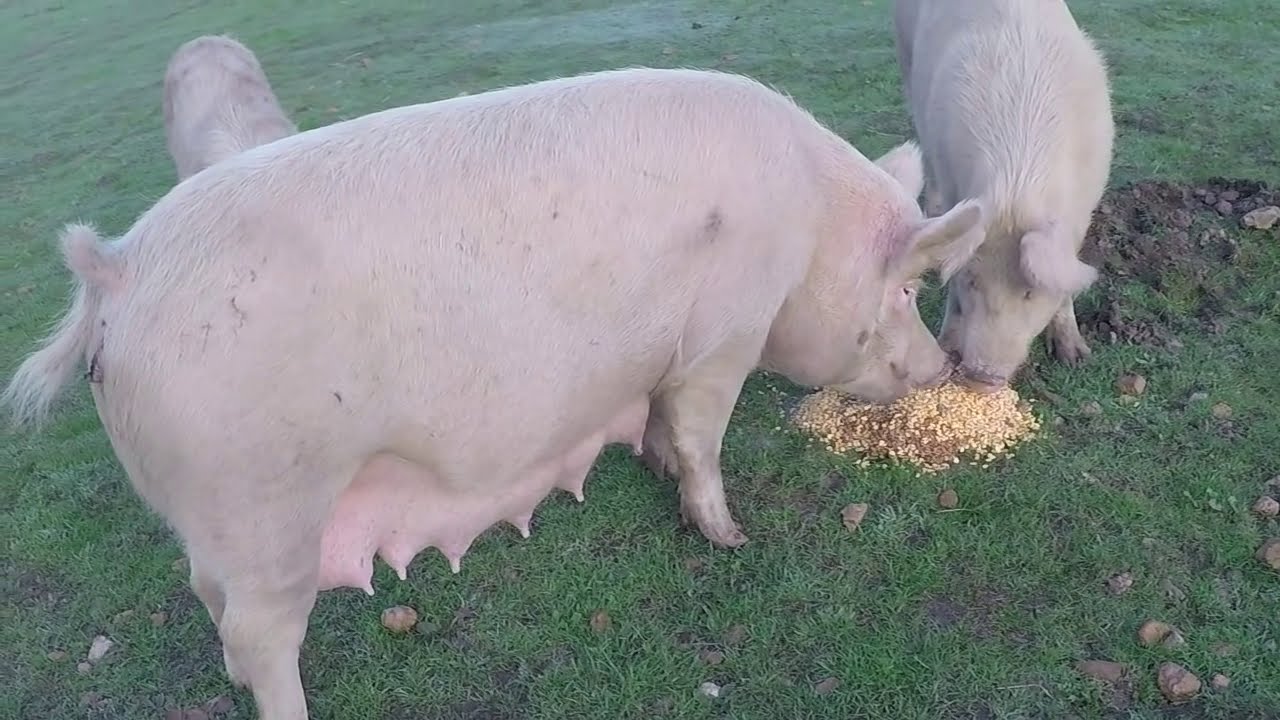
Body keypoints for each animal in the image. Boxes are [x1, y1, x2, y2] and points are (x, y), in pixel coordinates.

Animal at [3, 67, 983, 719]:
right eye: (905, 289)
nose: (942, 367)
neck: (809, 231)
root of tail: (115, 275)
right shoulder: (722, 341)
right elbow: (702, 437)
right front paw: (730, 538)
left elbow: (661, 426)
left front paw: (659, 470)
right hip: (263, 503)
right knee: (261, 634)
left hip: (216, 522)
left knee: (207, 595)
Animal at [892, 0, 1115, 390]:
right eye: (972, 281)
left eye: (1029, 292)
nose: (982, 376)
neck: (1017, 186)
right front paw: (946, 345)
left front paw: (1075, 357)